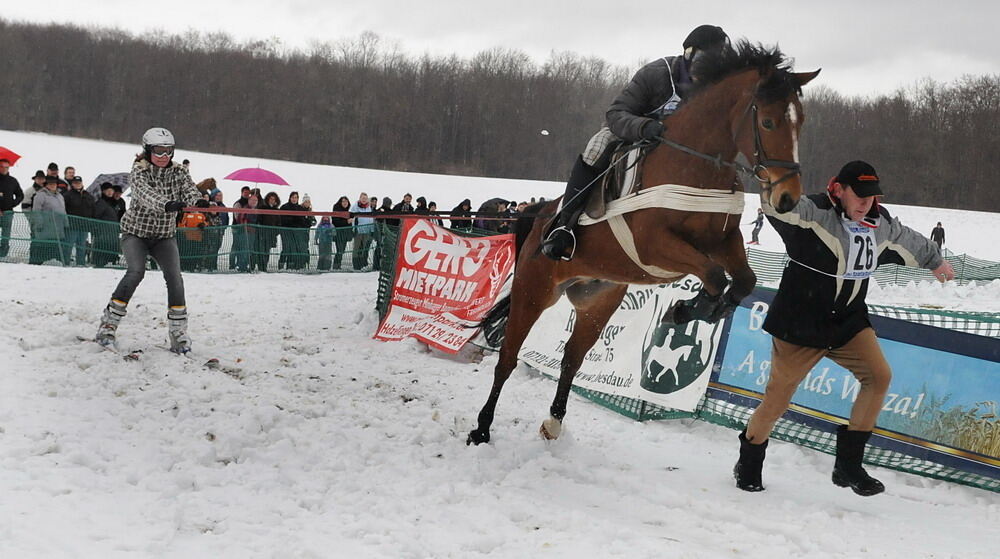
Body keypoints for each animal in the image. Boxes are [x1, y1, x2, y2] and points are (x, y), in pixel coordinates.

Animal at [468, 42, 820, 446]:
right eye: (768, 123)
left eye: (800, 122)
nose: (787, 198)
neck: (695, 166)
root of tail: (538, 216)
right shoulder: (656, 245)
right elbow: (716, 276)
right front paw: (687, 309)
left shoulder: (724, 240)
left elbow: (744, 281)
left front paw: (694, 310)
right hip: (534, 289)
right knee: (508, 357)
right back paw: (481, 427)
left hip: (597, 302)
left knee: (571, 359)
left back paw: (553, 422)